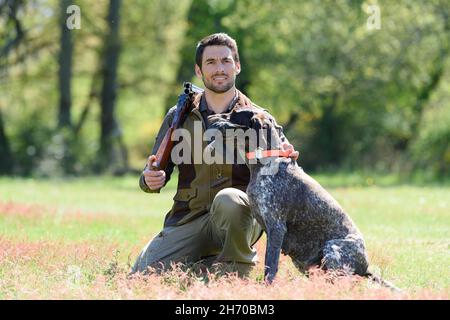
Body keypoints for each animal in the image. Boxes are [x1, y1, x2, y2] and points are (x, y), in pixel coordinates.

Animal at [211, 109, 380, 284]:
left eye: (233, 114)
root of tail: (365, 268)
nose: (212, 117)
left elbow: (270, 264)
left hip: (332, 250)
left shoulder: (276, 227)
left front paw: (267, 286)